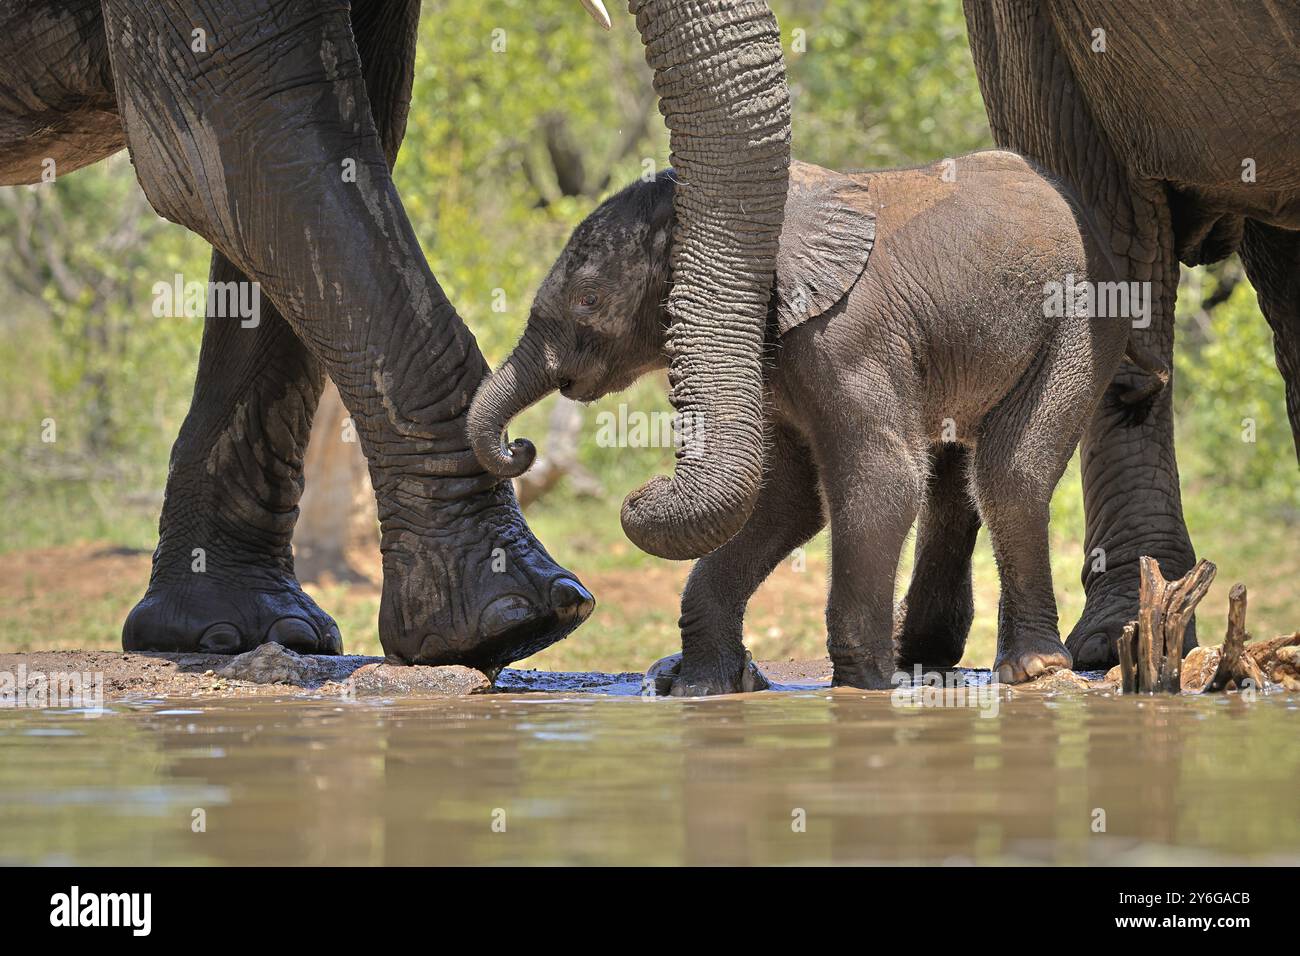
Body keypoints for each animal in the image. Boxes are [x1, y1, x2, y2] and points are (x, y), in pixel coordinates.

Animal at [470, 153, 1159, 697]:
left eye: (588, 300)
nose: (520, 446)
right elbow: (788, 500)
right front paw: (701, 685)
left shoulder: (848, 336)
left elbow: (880, 480)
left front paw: (862, 687)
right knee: (953, 478)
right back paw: (923, 661)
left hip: (1081, 317)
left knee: (1008, 474)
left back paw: (1030, 669)